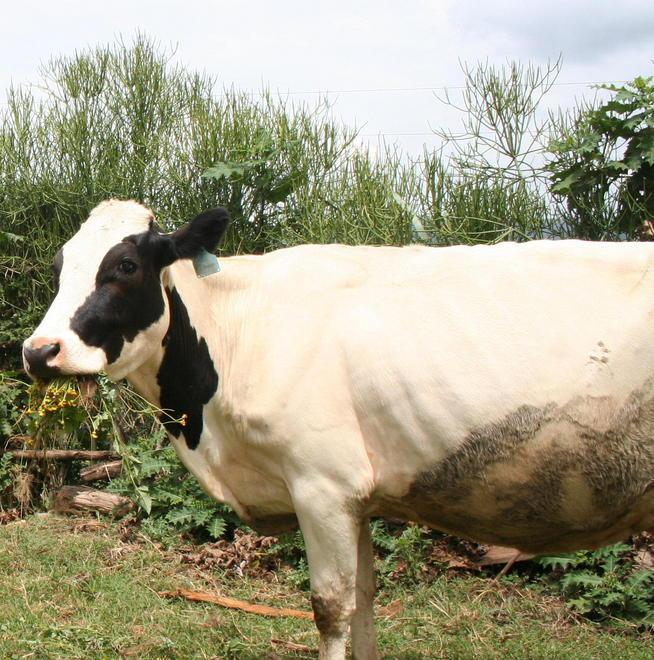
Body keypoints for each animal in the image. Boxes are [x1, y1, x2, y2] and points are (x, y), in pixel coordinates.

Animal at [23, 199, 654, 659]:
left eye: (125, 267)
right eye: (58, 268)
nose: (38, 351)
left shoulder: (323, 486)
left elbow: (330, 608)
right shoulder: (360, 498)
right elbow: (366, 599)